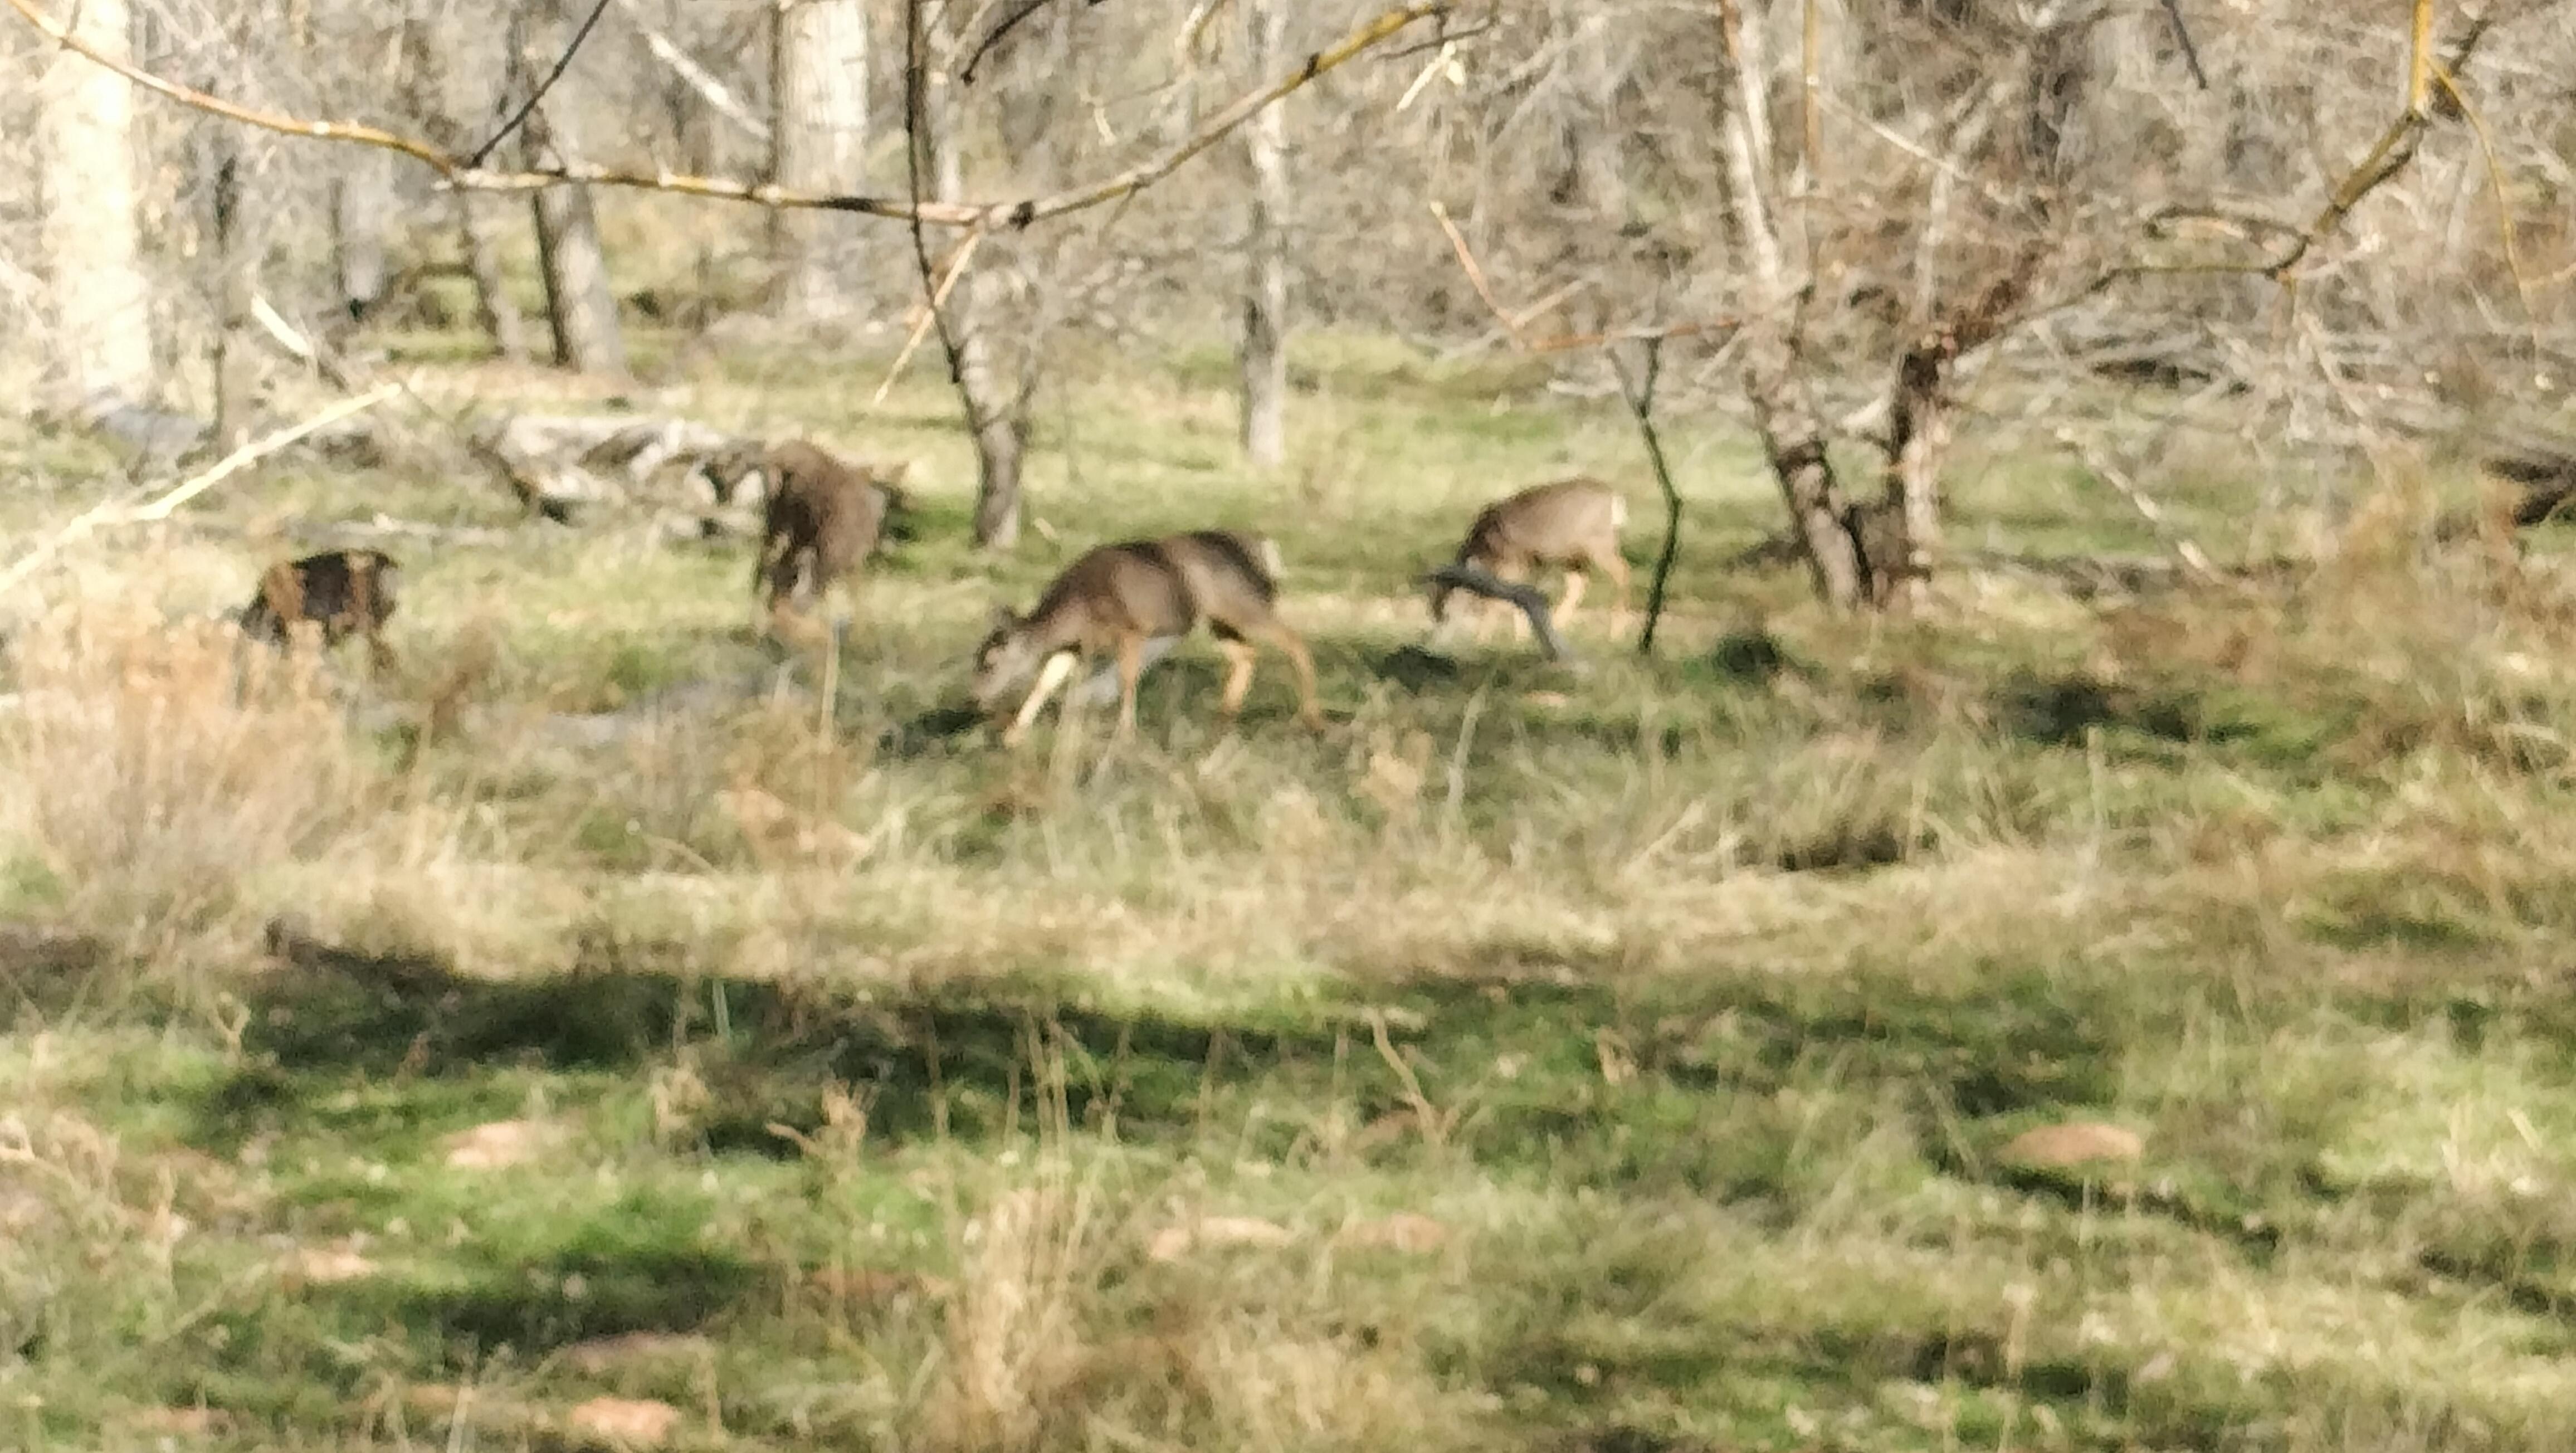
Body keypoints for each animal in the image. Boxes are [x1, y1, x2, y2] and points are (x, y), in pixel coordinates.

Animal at [968, 530, 1325, 746]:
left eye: (991, 662)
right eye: (978, 658)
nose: (977, 697)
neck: (1079, 610)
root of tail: (1264, 548)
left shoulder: (1133, 628)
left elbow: (1127, 678)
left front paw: (1126, 734)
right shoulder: (1076, 645)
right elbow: (1046, 681)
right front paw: (1013, 734)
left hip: (1244, 604)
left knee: (1294, 642)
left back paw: (1311, 720)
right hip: (1218, 620)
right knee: (1247, 655)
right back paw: (1222, 720)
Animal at [1426, 476, 1631, 643]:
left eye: (1447, 610)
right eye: (1432, 612)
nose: (1438, 641)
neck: (1486, 545)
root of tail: (1615, 499)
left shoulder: (1511, 561)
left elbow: (1495, 602)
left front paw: (1482, 640)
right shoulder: (1527, 563)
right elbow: (1521, 596)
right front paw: (1521, 638)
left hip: (1599, 543)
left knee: (1622, 572)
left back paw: (1616, 634)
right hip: (1571, 555)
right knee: (1578, 584)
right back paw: (1556, 626)